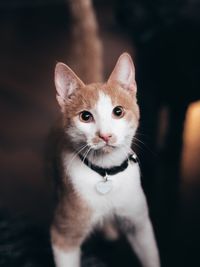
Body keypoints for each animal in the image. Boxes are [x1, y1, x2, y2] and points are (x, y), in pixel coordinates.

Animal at [50, 52, 160, 267]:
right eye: (85, 116)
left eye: (118, 112)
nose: (105, 135)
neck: (106, 172)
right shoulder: (63, 237)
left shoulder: (139, 224)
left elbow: (150, 256)